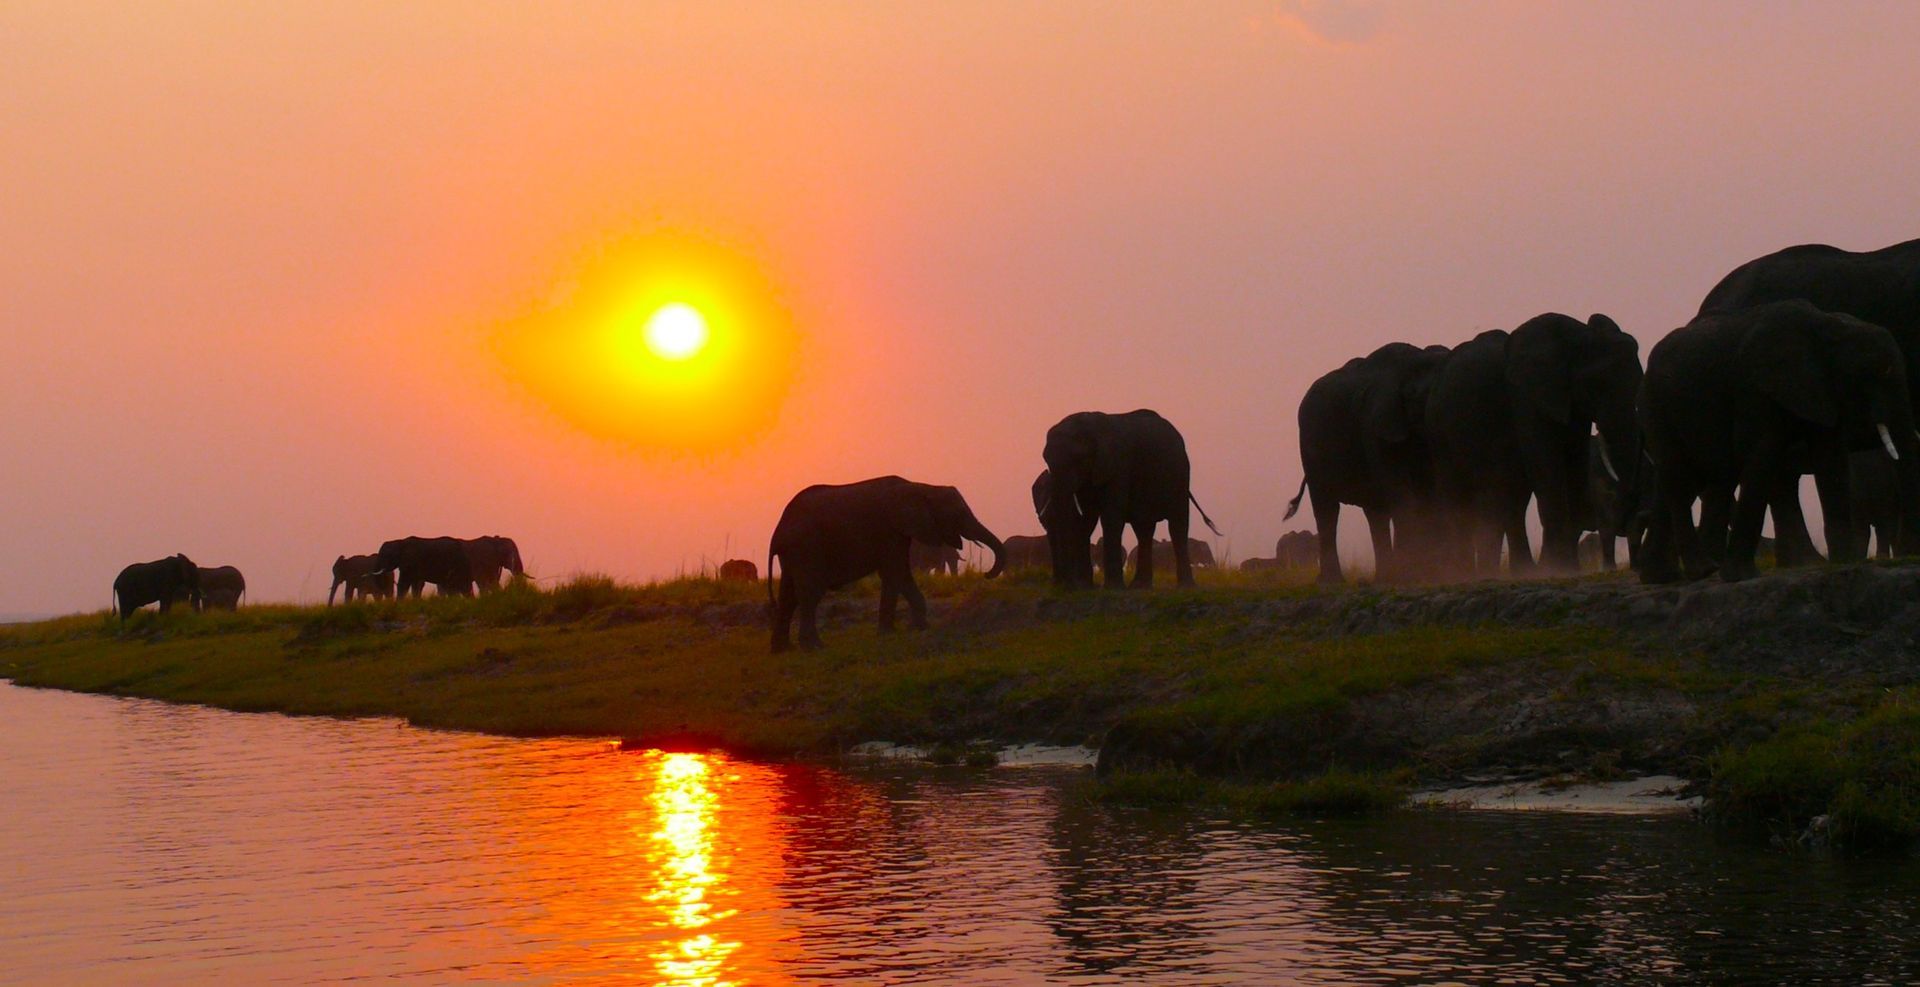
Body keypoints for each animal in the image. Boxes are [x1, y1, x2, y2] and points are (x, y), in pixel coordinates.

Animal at [768, 475, 1005, 652]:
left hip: (795, 553)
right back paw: (814, 647)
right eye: (958, 514)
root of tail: (778, 532)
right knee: (810, 593)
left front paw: (909, 629)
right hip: (806, 547)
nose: (986, 574)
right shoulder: (889, 529)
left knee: (788, 595)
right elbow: (895, 572)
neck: (921, 486)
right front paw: (901, 631)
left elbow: (899, 574)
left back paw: (783, 650)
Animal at [1287, 343, 1452, 584]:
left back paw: (1383, 577)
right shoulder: (1376, 429)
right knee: (1327, 509)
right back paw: (1332, 581)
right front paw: (1413, 573)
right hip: (1309, 448)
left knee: (1375, 512)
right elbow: (1400, 490)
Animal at [1426, 314, 1642, 577]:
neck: (1579, 335)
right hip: (1440, 433)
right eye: (1597, 385)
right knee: (1461, 495)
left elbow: (1574, 461)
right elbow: (1546, 464)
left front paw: (1566, 567)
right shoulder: (1527, 398)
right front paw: (1557, 568)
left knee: (1512, 497)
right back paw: (1464, 573)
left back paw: (1521, 570)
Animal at [1638, 300, 1920, 583]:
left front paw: (1845, 563)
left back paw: (1662, 576)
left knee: (1692, 479)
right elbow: (1761, 455)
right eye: (1880, 371)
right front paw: (1742, 576)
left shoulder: (1820, 390)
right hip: (1655, 405)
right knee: (1680, 475)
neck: (1829, 325)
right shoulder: (1754, 388)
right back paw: (1702, 570)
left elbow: (1830, 459)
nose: (1910, 554)